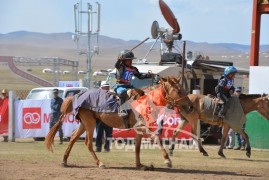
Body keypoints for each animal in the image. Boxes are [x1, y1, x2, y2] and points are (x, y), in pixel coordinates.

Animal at [45, 76, 192, 169]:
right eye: (178, 90)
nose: (190, 106)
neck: (147, 101)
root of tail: (78, 95)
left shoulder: (139, 129)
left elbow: (137, 147)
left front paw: (140, 165)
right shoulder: (142, 127)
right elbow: (156, 137)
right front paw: (167, 160)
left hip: (85, 123)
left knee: (73, 138)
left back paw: (64, 161)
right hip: (90, 124)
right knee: (87, 143)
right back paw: (100, 163)